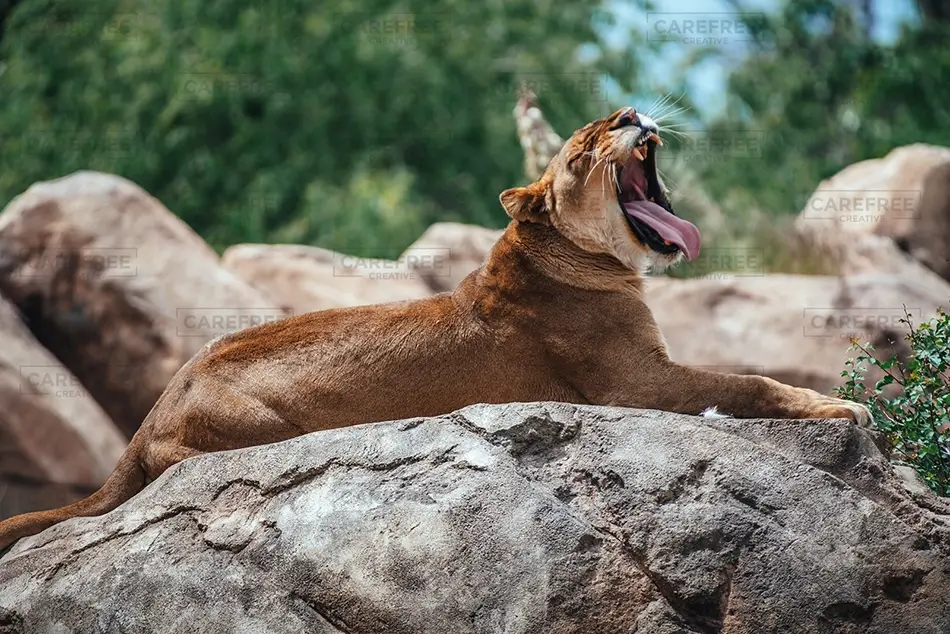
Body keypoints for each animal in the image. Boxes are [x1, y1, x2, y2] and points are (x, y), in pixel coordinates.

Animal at [0, 107, 869, 552]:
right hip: (256, 431)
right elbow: (746, 378)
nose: (630, 113)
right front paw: (844, 406)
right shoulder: (634, 381)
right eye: (582, 149)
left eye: (614, 119)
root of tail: (150, 413)